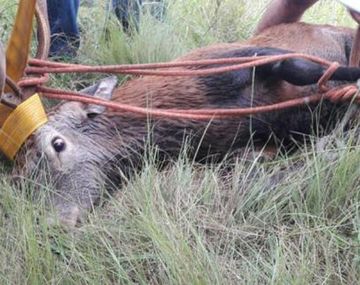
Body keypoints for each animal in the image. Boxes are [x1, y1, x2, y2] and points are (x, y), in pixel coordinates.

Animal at [4, 0, 360, 226]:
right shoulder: (248, 147)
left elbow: (305, 67)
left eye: (58, 144)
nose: (56, 222)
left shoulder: (244, 57)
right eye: (20, 182)